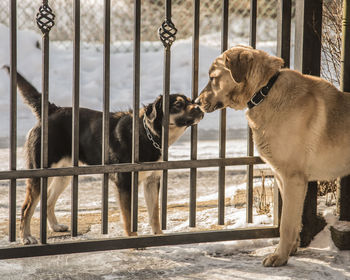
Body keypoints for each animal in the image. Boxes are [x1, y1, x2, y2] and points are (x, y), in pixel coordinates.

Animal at [9, 68, 204, 245]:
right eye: (178, 104)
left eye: (190, 101)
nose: (200, 106)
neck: (147, 134)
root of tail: (51, 111)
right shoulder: (125, 183)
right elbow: (129, 217)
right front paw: (133, 239)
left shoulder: (152, 181)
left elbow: (154, 214)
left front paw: (159, 236)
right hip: (39, 173)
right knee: (26, 207)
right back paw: (26, 237)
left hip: (63, 175)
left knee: (48, 200)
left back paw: (55, 226)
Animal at [196, 45, 348, 266]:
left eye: (213, 78)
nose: (196, 102)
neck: (264, 91)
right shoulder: (283, 178)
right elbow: (293, 220)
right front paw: (290, 250)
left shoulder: (293, 178)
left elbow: (285, 223)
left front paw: (279, 256)